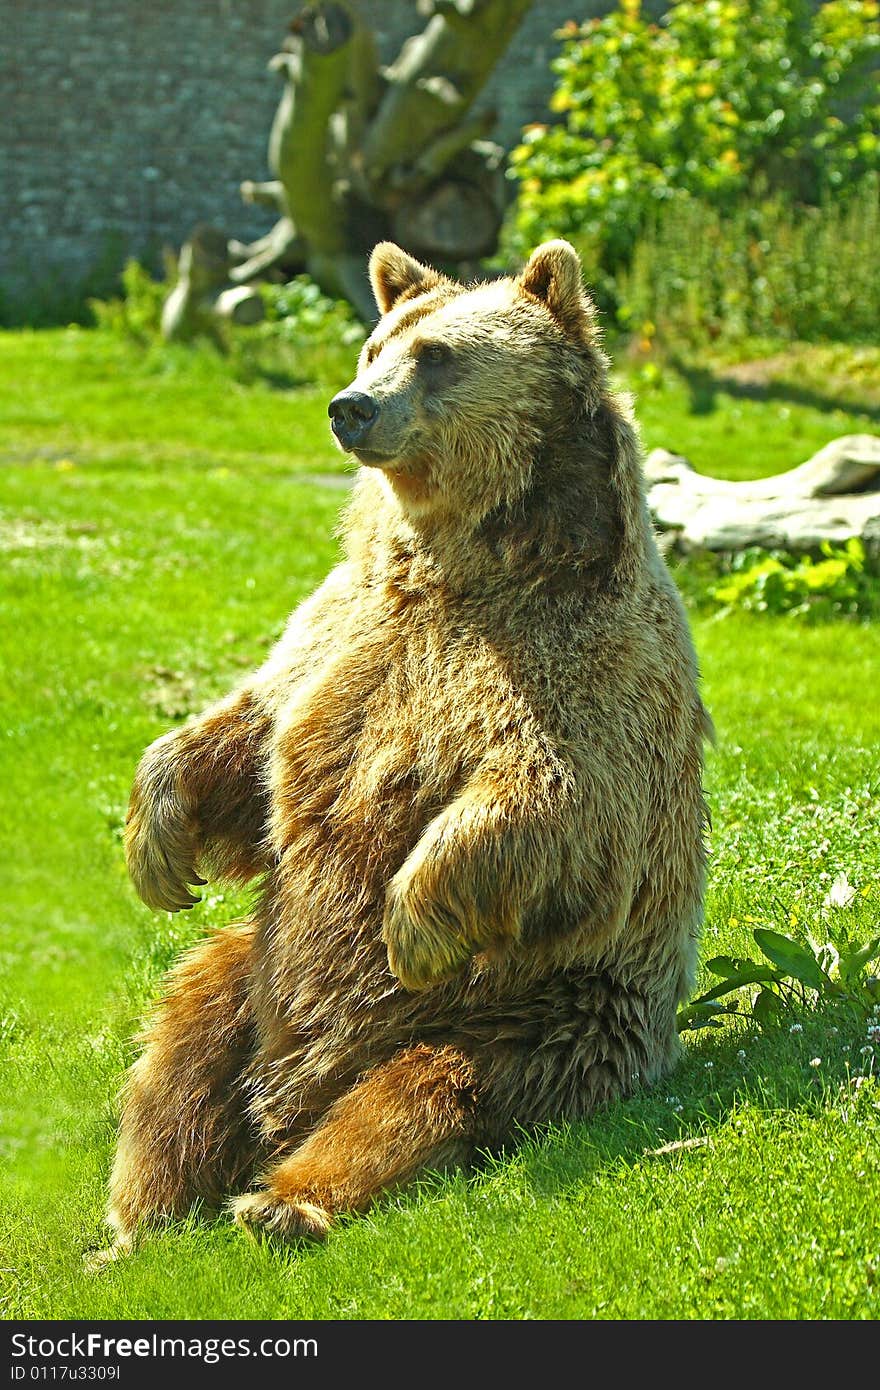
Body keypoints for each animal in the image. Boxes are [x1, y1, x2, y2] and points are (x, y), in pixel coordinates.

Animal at [106, 241, 711, 1251]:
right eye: (374, 344)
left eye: (438, 355)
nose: (351, 406)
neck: (461, 565)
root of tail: (295, 1093)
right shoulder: (342, 630)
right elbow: (255, 733)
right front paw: (158, 843)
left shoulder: (587, 663)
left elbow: (556, 800)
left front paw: (411, 922)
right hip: (260, 965)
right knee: (180, 1047)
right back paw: (143, 1217)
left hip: (541, 1011)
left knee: (421, 1093)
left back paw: (284, 1200)